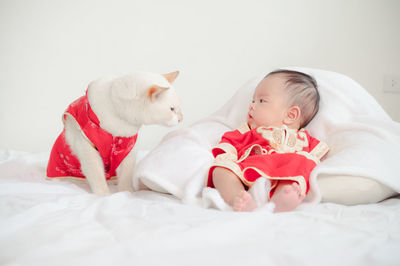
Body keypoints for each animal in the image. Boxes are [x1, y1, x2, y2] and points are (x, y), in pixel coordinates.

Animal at [46, 70, 182, 195]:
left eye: (179, 108)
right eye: (172, 109)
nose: (181, 119)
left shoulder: (128, 149)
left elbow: (126, 175)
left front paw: (126, 192)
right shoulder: (88, 150)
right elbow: (97, 175)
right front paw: (104, 194)